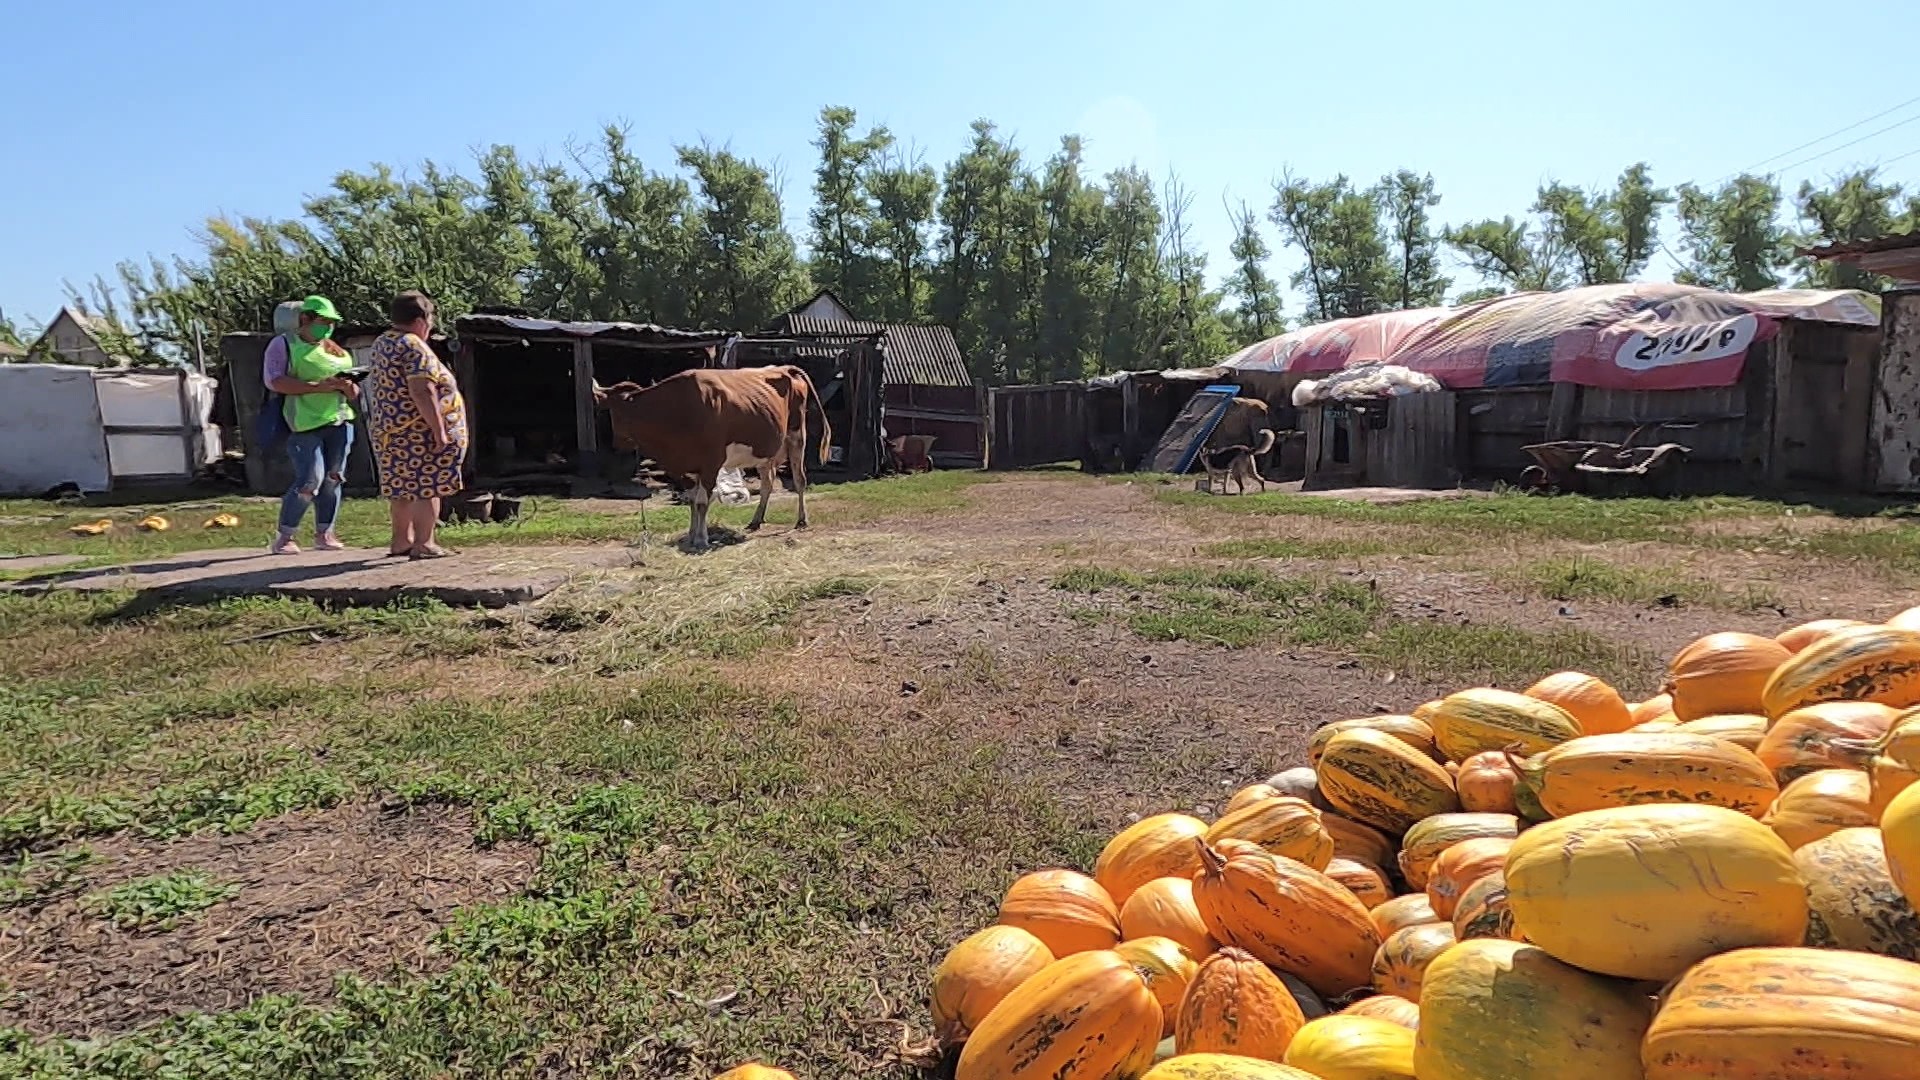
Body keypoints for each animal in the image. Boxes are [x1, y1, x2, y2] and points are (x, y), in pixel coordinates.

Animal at [583, 363, 825, 545]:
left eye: (615, 413)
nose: (617, 443)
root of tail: (785, 368)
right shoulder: (686, 468)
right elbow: (692, 501)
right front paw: (692, 535)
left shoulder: (711, 464)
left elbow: (702, 502)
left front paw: (701, 539)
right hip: (765, 449)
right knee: (768, 482)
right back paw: (756, 520)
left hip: (796, 437)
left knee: (799, 479)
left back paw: (802, 520)